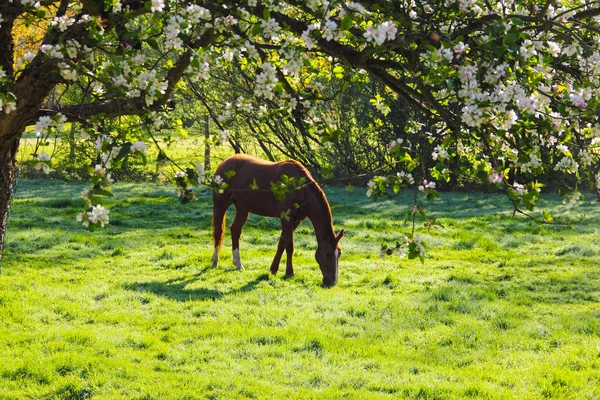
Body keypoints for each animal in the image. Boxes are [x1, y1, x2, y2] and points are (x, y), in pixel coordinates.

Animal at [211, 152, 344, 284]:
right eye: (328, 254)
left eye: (339, 254)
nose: (332, 281)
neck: (300, 189)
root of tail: (224, 162)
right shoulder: (286, 218)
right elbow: (289, 246)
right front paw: (289, 273)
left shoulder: (296, 221)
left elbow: (282, 243)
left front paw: (273, 269)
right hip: (221, 204)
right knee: (219, 232)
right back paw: (215, 262)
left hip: (242, 208)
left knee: (235, 230)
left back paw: (238, 264)